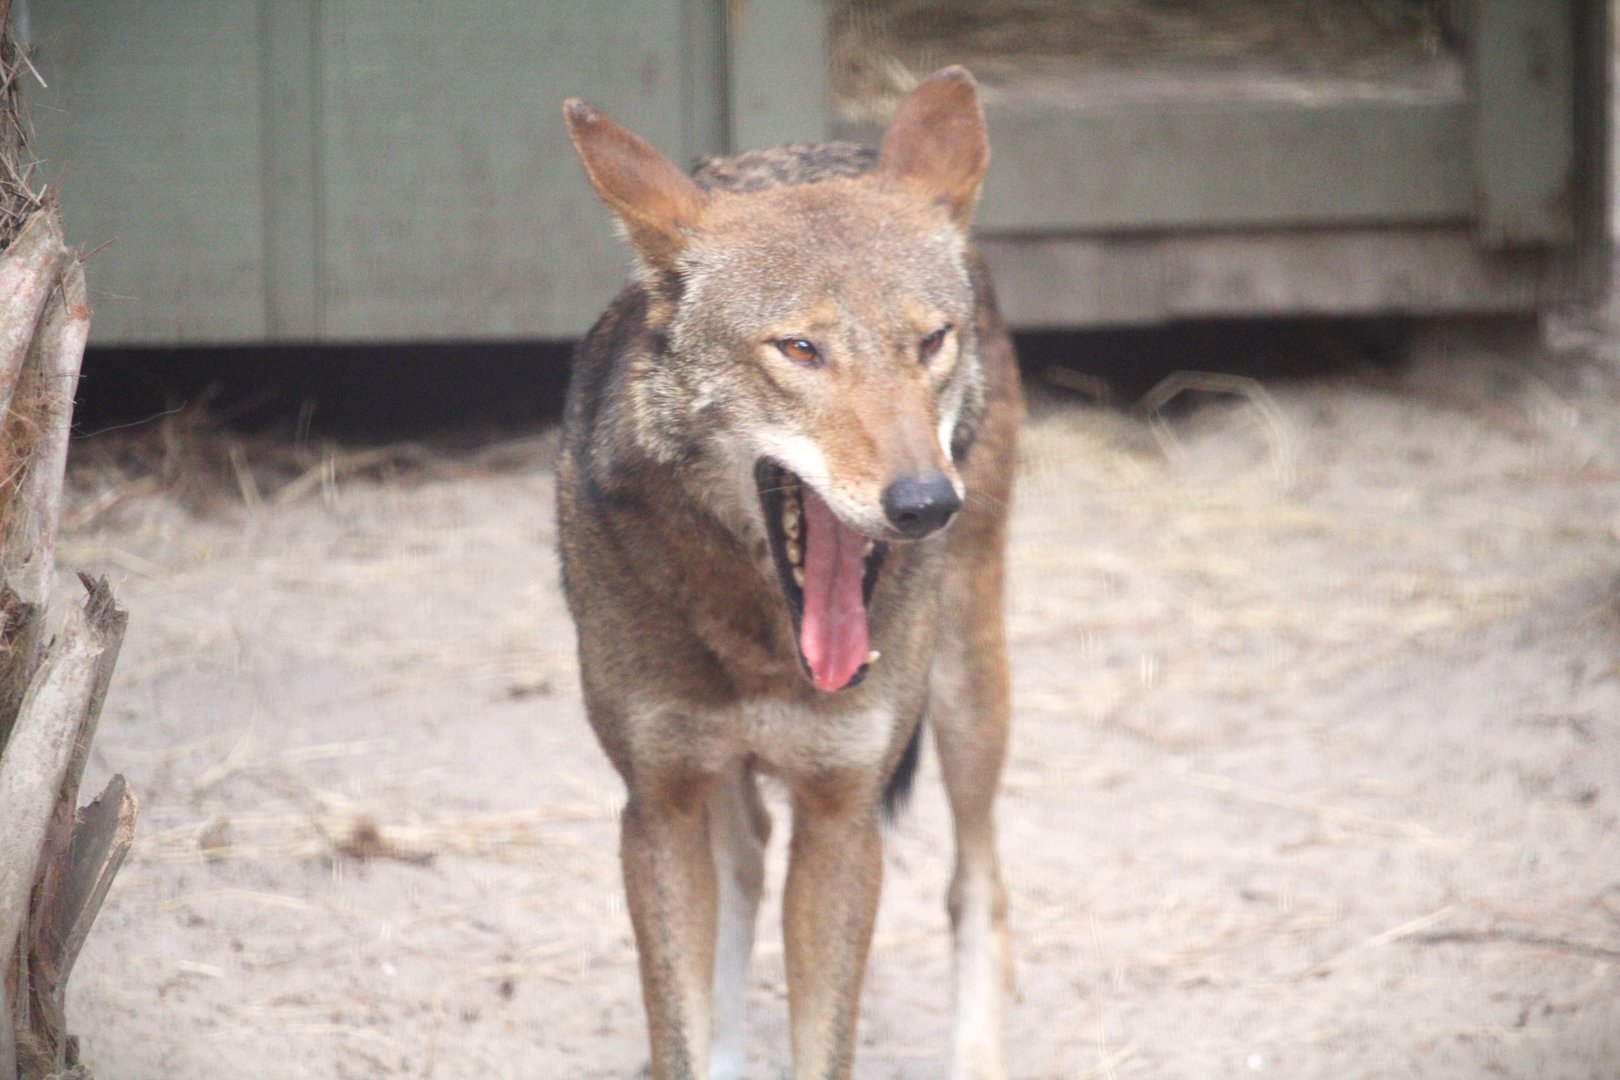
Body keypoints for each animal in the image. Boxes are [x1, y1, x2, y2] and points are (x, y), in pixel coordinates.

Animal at [558, 67, 1023, 1079]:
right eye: (801, 349)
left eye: (929, 342)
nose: (926, 502)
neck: (758, 638)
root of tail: (831, 145)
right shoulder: (657, 805)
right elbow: (681, 1028)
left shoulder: (842, 814)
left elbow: (827, 1042)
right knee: (745, 867)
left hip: (970, 688)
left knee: (978, 885)